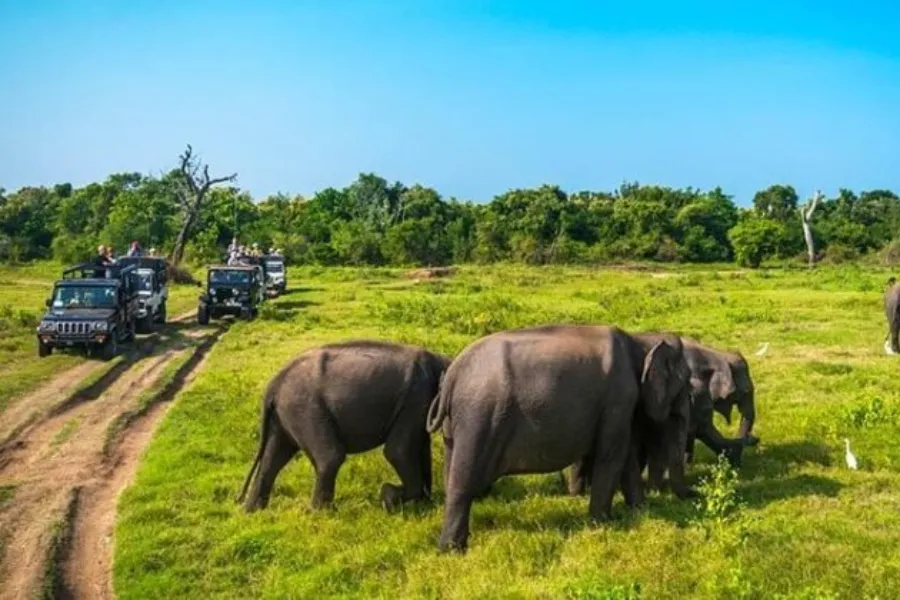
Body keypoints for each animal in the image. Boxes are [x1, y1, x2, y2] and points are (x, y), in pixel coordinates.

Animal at [238, 340, 450, 513]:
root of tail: (273, 385)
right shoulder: (415, 398)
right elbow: (397, 451)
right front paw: (388, 498)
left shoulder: (417, 405)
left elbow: (420, 447)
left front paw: (424, 504)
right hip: (305, 408)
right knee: (330, 456)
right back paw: (323, 514)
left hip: (284, 415)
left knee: (274, 457)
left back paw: (253, 512)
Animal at [425, 324, 691, 552]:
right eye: (685, 381)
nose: (692, 496)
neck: (640, 339)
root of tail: (453, 375)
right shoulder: (619, 396)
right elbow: (612, 454)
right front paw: (602, 524)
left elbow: (624, 456)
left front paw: (639, 511)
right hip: (479, 416)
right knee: (463, 480)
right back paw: (452, 550)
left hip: (455, 425)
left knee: (451, 474)